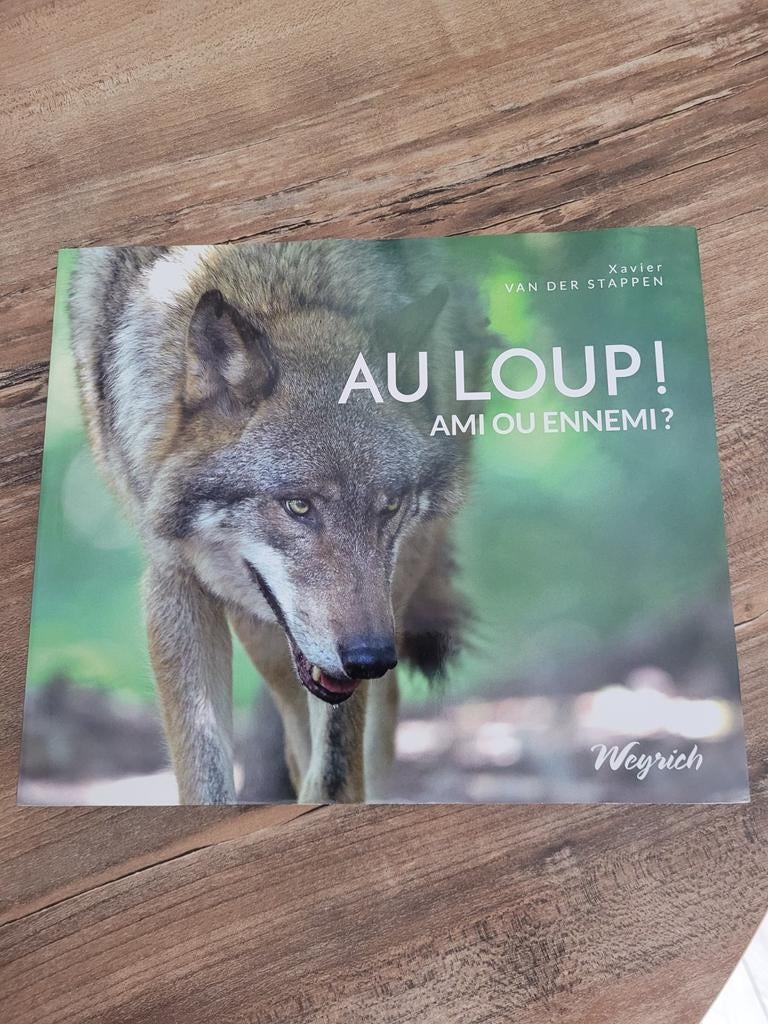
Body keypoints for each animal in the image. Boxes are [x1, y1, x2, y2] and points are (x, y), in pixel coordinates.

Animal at [69, 239, 491, 803]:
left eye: (389, 506)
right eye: (298, 506)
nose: (369, 657)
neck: (274, 282)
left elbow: (336, 774)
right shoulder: (173, 578)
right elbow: (205, 777)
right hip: (267, 638)